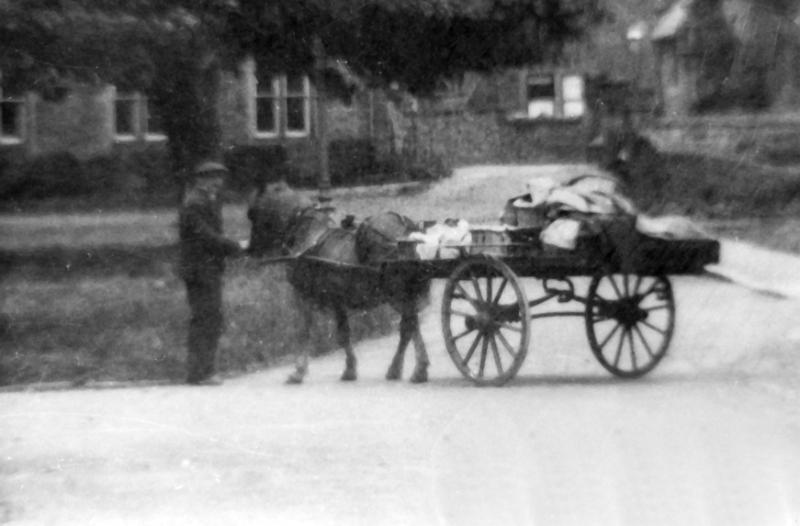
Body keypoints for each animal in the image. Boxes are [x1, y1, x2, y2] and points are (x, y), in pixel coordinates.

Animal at [248, 182, 432, 384]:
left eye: (251, 213)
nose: (251, 251)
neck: (309, 239)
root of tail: (406, 231)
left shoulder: (303, 296)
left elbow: (306, 331)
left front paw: (298, 371)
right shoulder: (338, 301)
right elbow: (344, 333)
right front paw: (350, 369)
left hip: (397, 295)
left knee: (409, 326)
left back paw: (414, 369)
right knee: (408, 327)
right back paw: (400, 369)